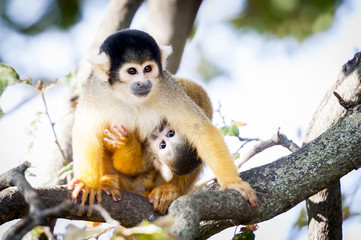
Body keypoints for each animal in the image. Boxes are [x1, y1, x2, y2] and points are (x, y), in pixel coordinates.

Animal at [69, 29, 256, 214]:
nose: (143, 83)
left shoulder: (166, 87)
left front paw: (232, 182)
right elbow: (86, 132)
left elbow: (200, 129)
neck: (129, 97)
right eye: (132, 71)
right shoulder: (95, 92)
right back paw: (107, 182)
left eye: (148, 68)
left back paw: (168, 190)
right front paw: (88, 184)